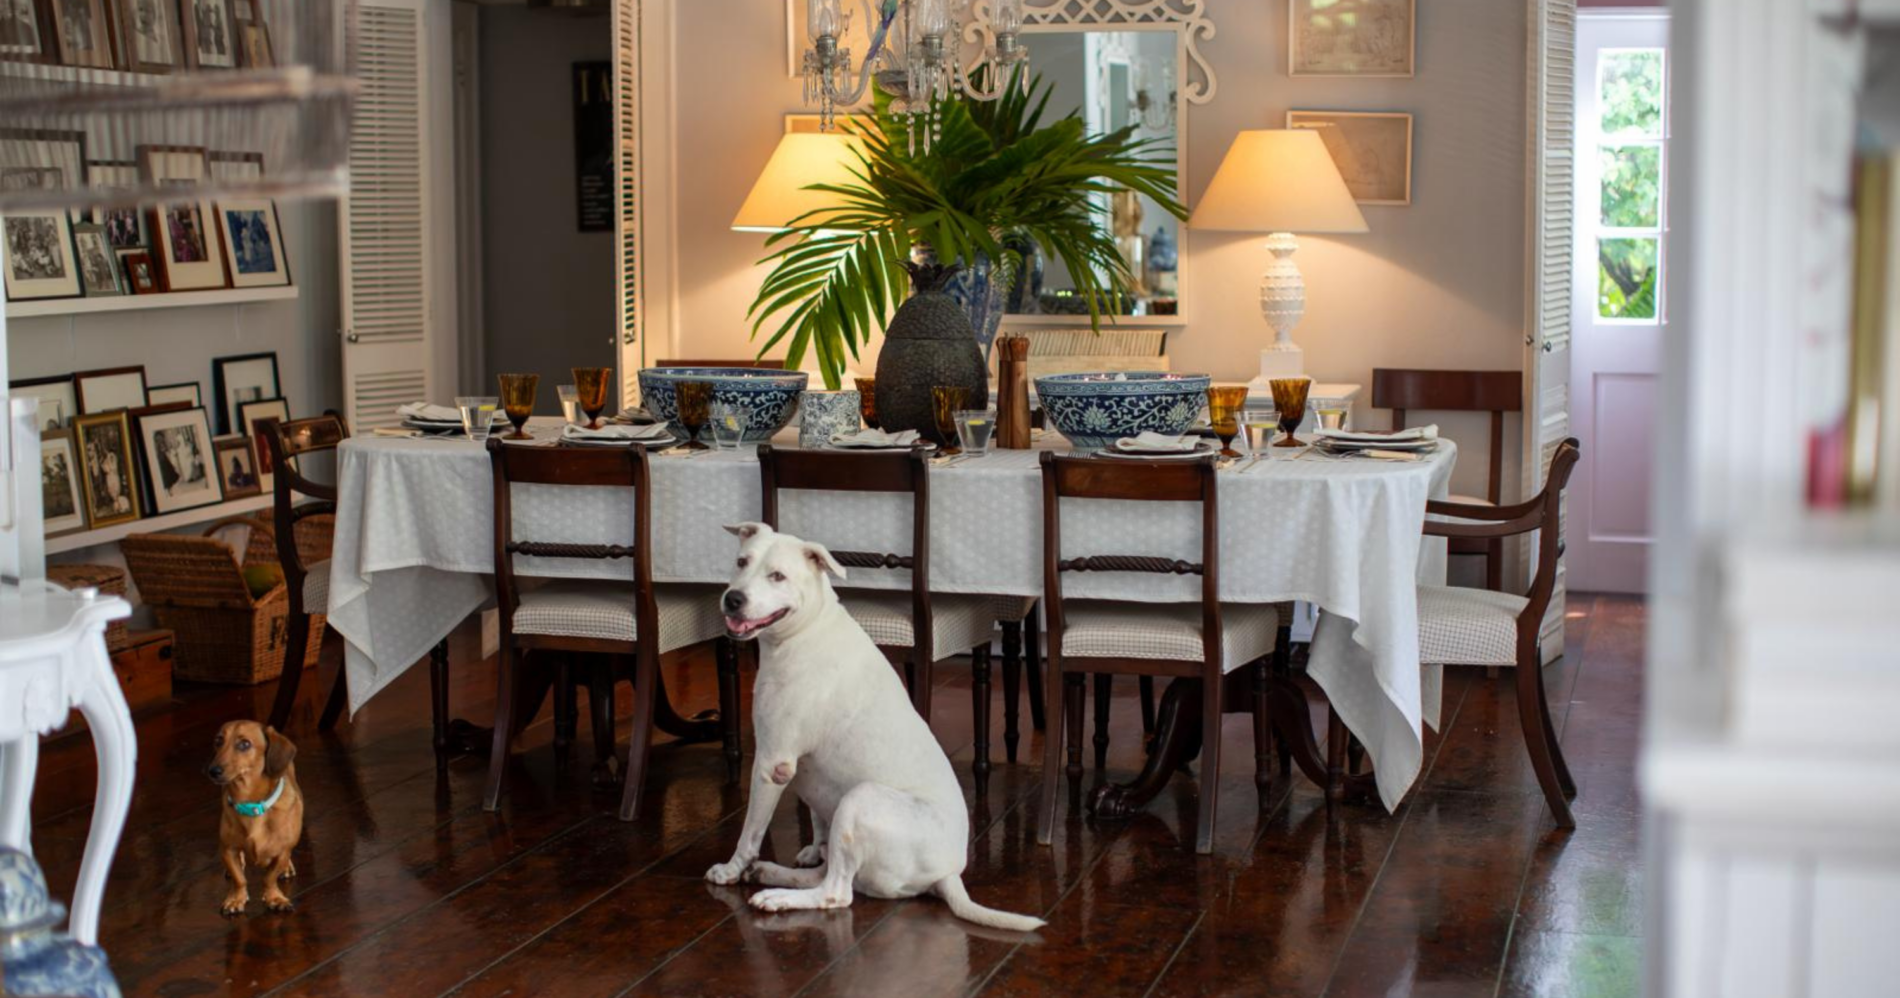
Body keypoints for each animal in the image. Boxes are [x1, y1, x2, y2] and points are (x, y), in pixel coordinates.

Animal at [706, 520, 1048, 935]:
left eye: (778, 576)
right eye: (742, 562)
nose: (733, 599)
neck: (804, 632)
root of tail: (948, 873)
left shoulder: (773, 765)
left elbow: (751, 831)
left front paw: (730, 870)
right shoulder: (803, 773)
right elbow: (818, 821)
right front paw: (811, 849)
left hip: (860, 799)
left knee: (837, 892)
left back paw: (776, 896)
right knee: (831, 876)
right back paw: (774, 873)